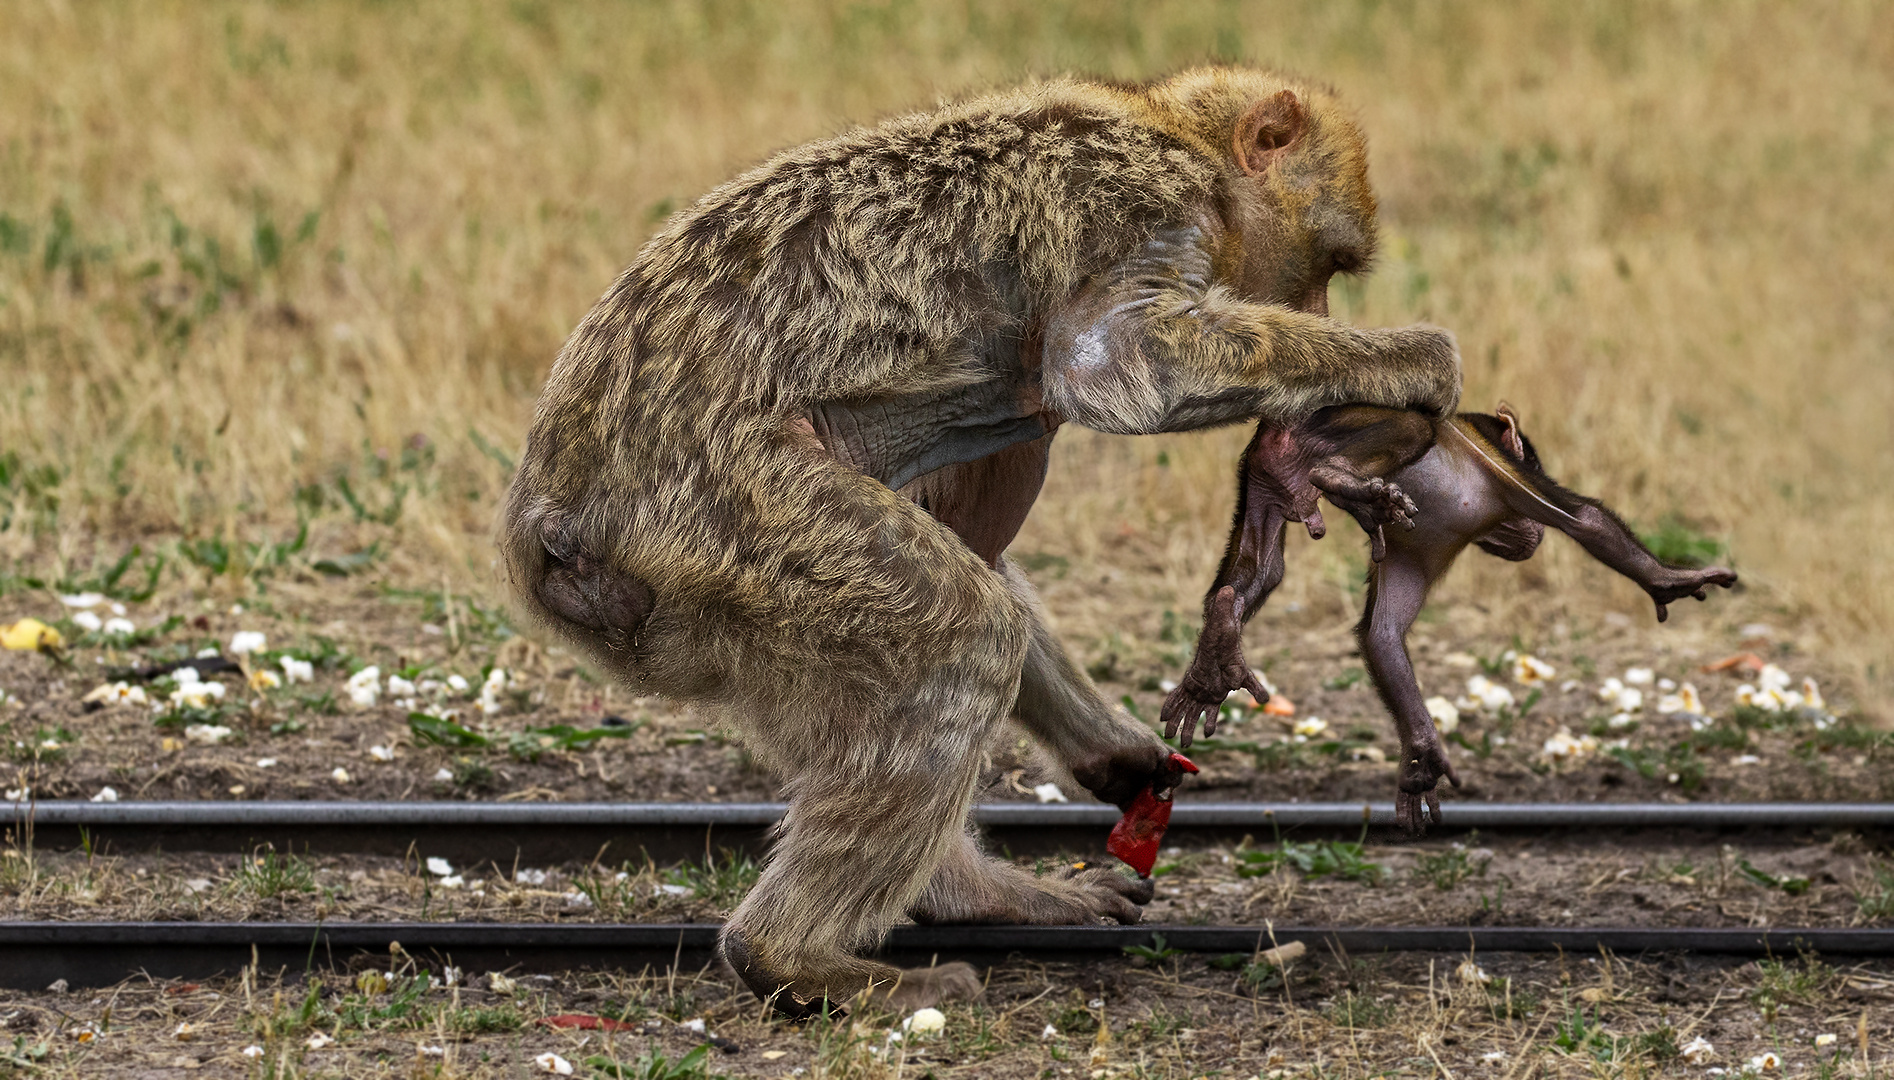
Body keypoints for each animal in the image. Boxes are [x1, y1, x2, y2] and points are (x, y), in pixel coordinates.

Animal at [1159, 403, 1734, 833]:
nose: (1524, 537)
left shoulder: (1420, 549)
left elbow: (1383, 636)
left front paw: (1421, 757)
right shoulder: (1501, 469)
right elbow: (1585, 519)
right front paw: (1669, 580)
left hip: (1265, 472)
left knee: (1261, 567)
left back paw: (1216, 647)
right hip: (1326, 427)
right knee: (1417, 426)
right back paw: (1340, 479)